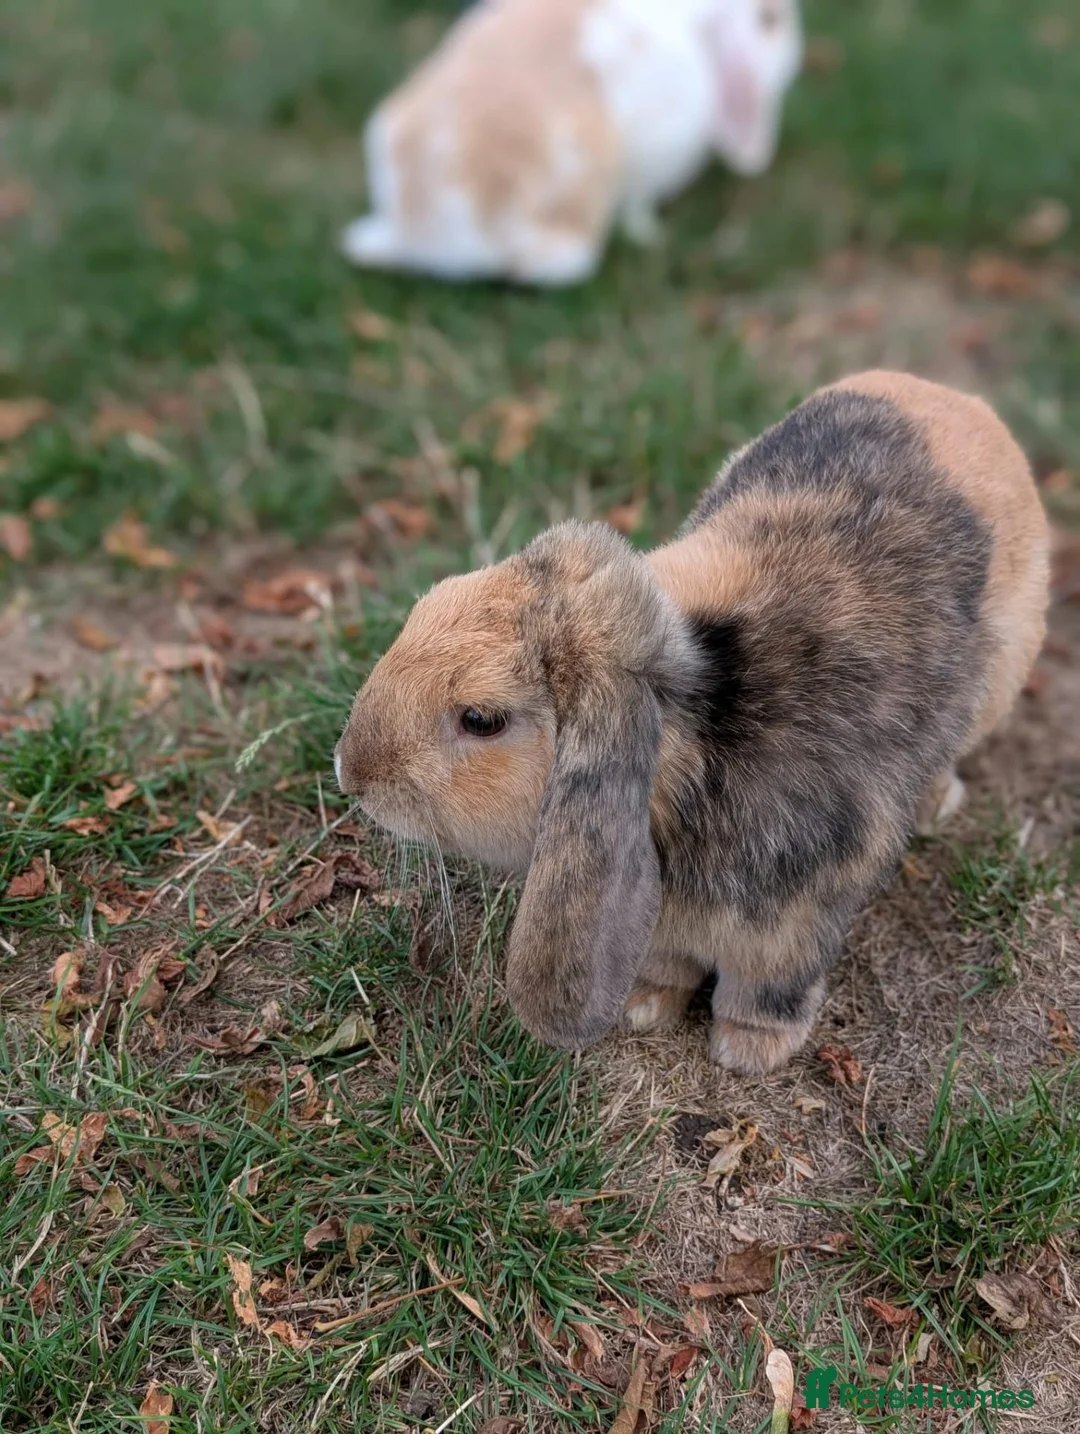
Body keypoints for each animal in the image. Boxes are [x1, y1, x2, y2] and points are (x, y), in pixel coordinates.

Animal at [335, 372, 1049, 1074]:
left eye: (481, 719)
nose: (349, 772)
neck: (699, 733)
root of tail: (950, 397)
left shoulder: (801, 911)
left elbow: (768, 984)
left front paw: (747, 1051)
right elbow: (668, 958)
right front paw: (646, 1007)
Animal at [341, 0, 803, 285]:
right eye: (768, 18)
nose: (792, 20)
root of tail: (428, 229)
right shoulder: (649, 164)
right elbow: (638, 206)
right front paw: (649, 236)